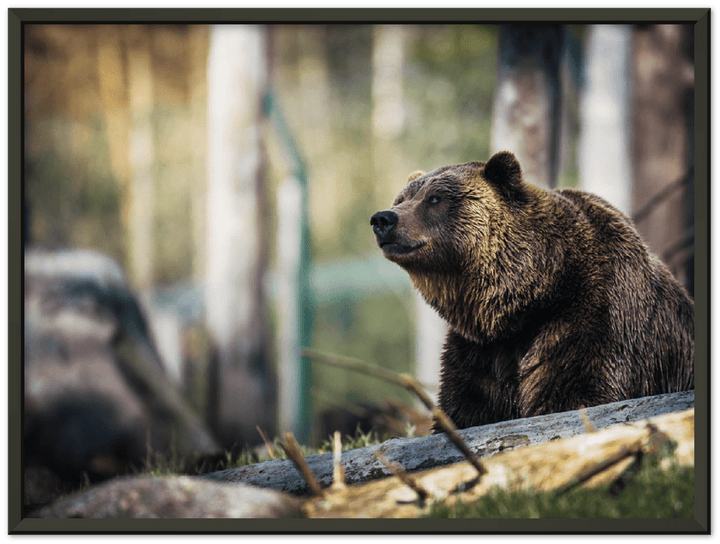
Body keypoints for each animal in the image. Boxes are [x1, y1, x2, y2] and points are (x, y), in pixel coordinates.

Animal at [370, 151, 694, 430]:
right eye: (402, 198)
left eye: (435, 198)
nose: (383, 219)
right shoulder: (480, 351)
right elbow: (465, 406)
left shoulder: (595, 317)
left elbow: (577, 392)